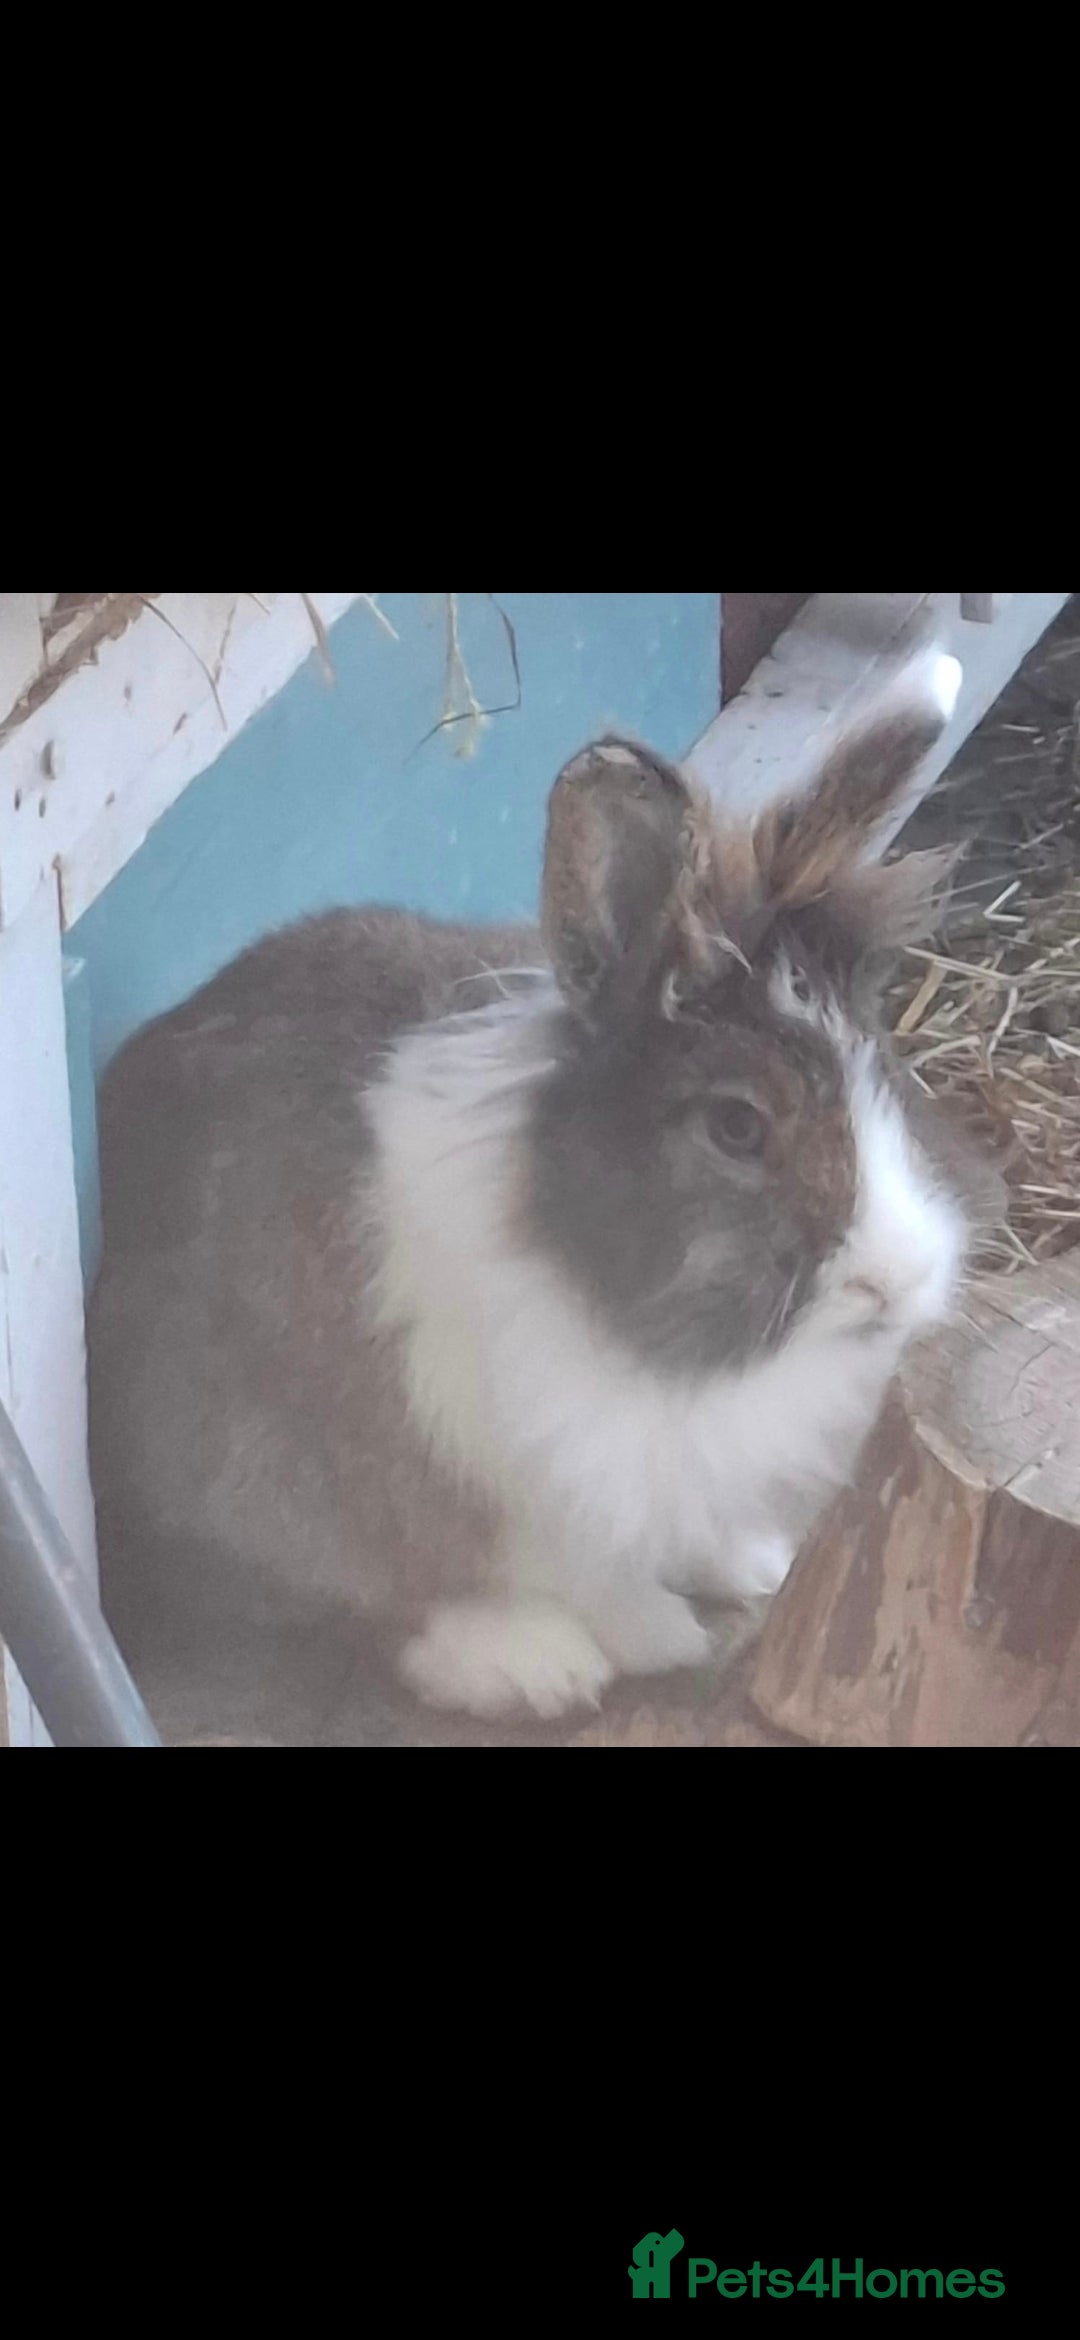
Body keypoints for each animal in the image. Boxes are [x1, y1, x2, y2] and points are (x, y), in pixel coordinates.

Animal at [88, 643, 1000, 1722]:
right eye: (737, 1126)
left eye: (882, 1065)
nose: (898, 1282)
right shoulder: (527, 1479)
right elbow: (592, 1580)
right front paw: (661, 1637)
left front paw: (754, 1564)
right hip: (253, 1467)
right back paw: (526, 1662)